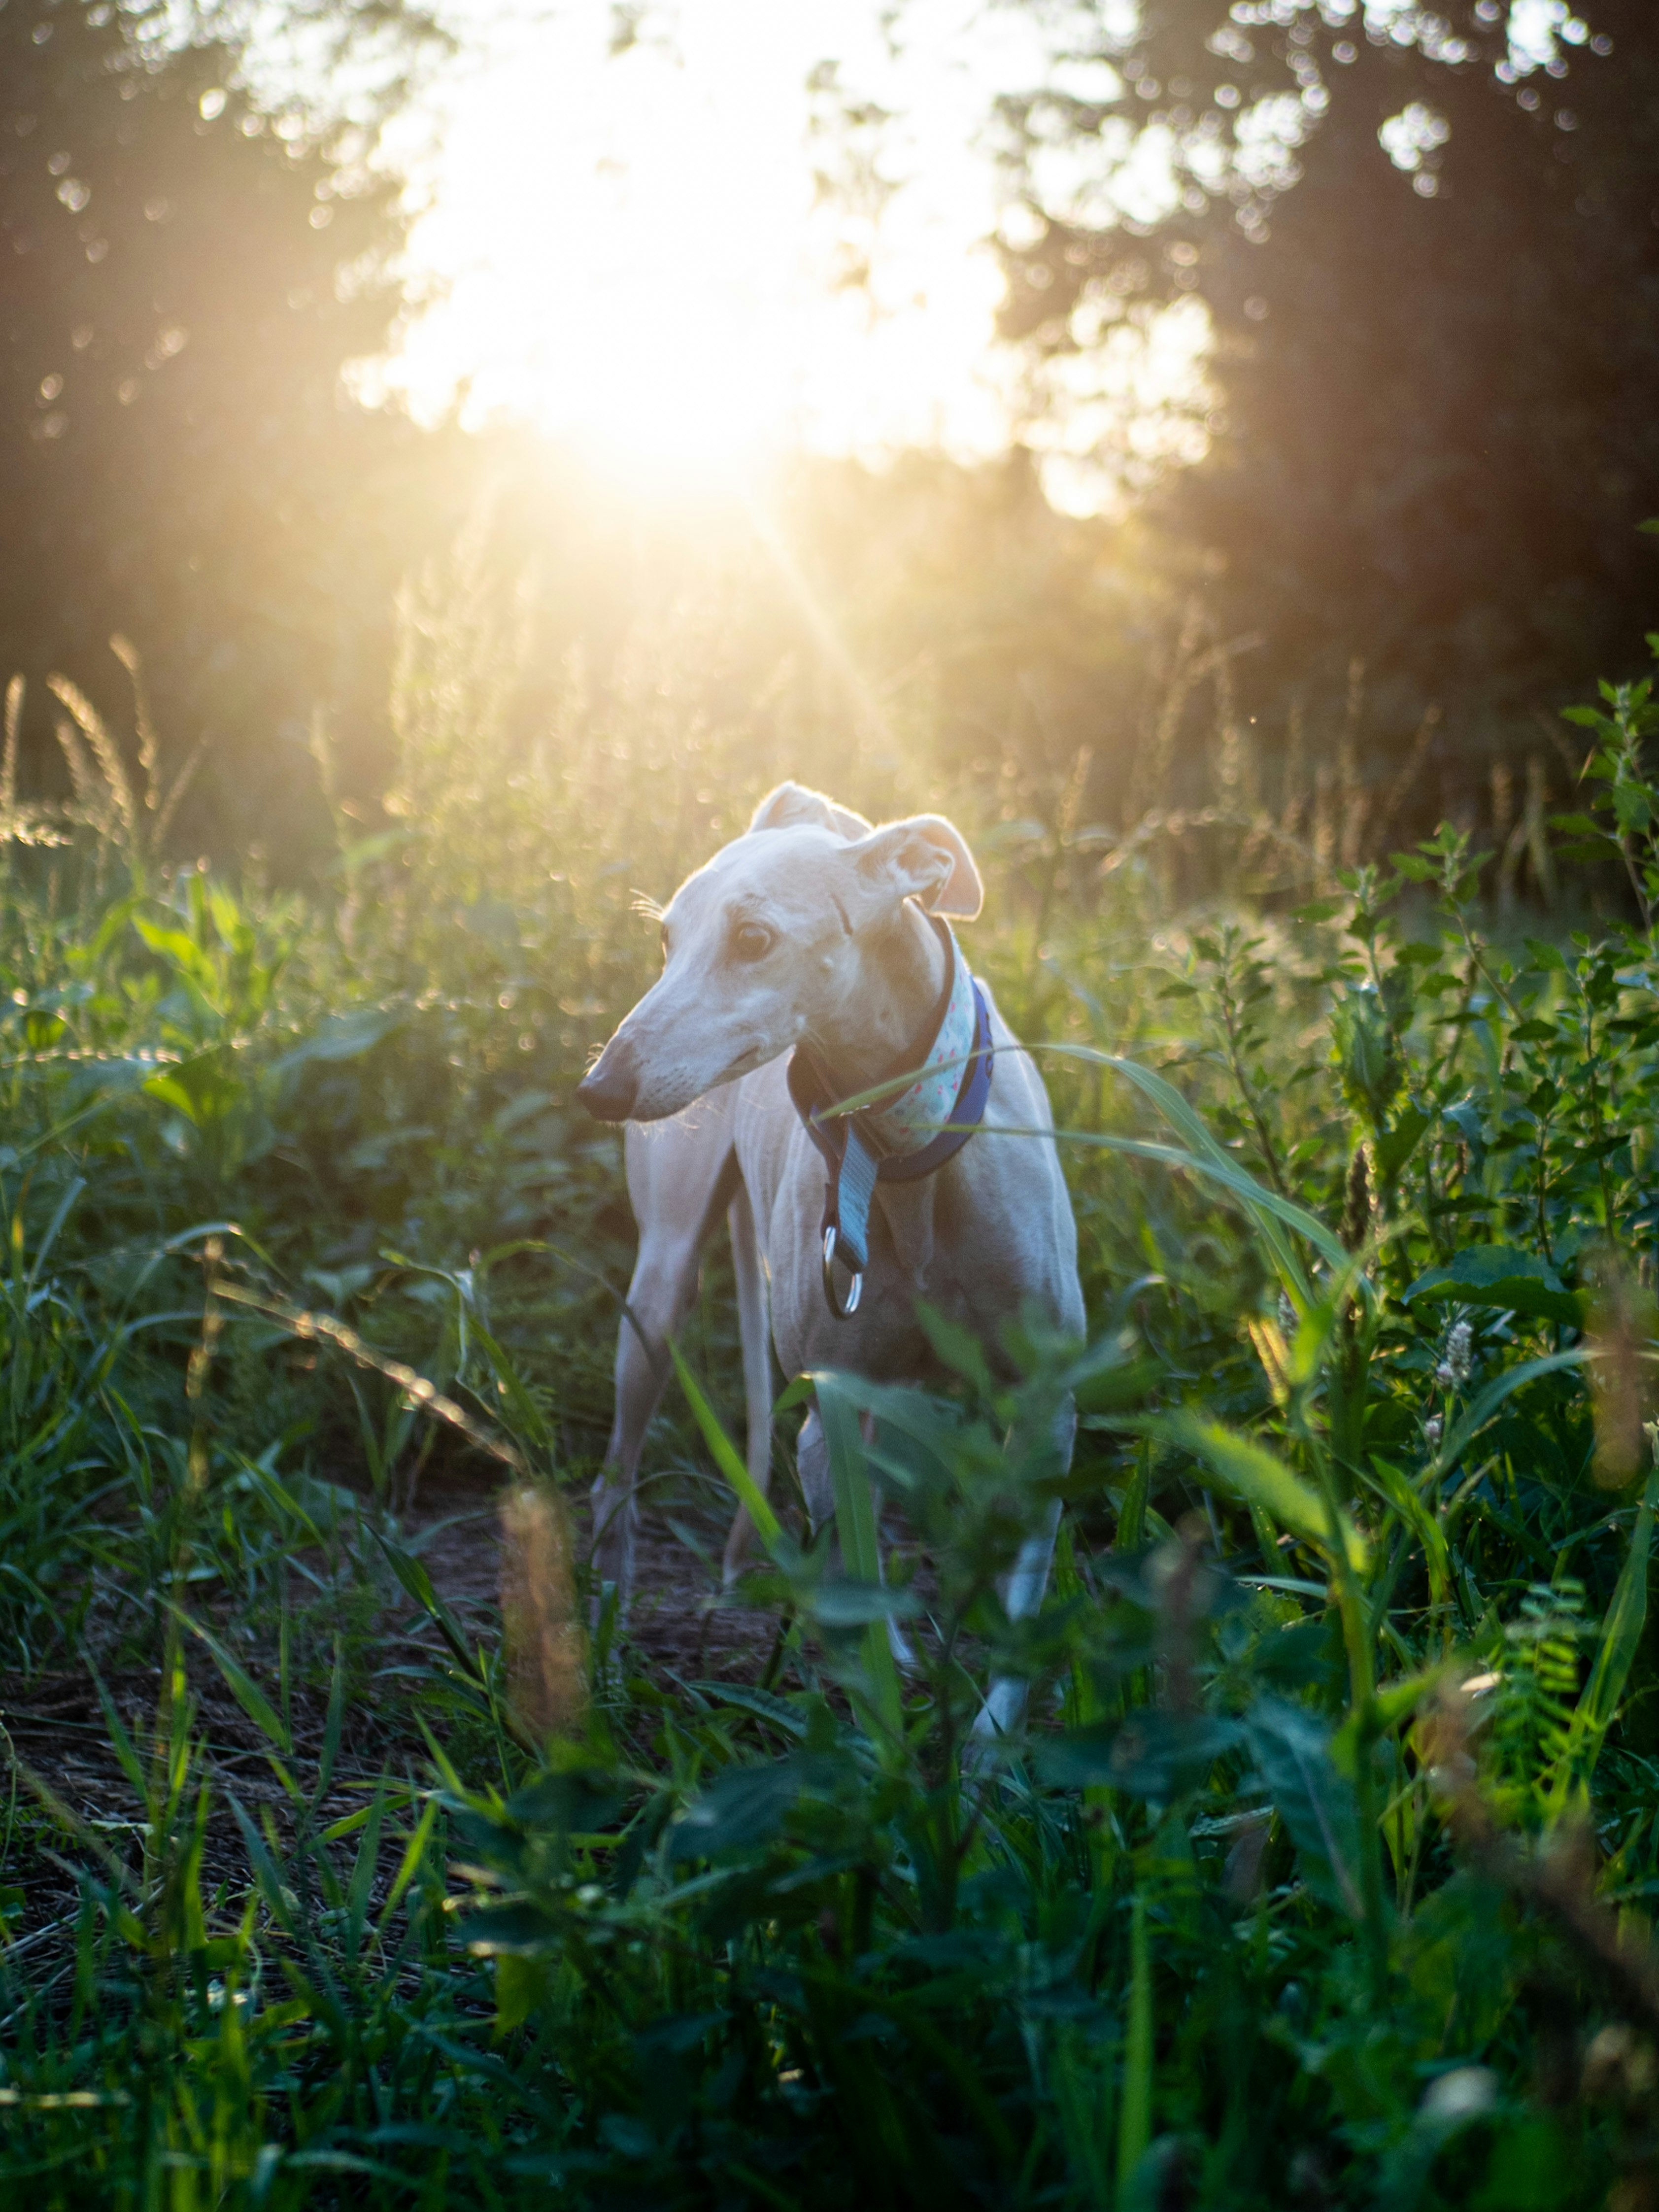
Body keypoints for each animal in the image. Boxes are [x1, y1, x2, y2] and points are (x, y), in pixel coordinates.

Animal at [579, 779, 1083, 1725]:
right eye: (666, 938)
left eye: (753, 938)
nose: (599, 1089)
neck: (902, 1150)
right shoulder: (829, 1417)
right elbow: (855, 1579)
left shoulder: (1044, 1407)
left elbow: (1018, 1604)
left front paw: (992, 1740)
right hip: (656, 1298)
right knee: (614, 1479)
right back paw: (603, 1640)